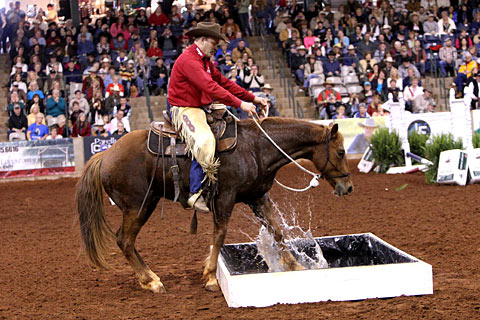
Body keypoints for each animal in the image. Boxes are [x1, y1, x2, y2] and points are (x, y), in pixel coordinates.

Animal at [76, 117, 352, 292]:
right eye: (340, 152)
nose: (348, 187)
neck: (256, 148)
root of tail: (105, 154)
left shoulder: (257, 197)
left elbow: (277, 230)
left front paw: (294, 265)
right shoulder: (225, 198)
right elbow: (219, 235)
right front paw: (209, 276)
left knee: (127, 241)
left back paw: (149, 278)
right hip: (139, 206)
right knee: (125, 240)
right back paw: (151, 281)